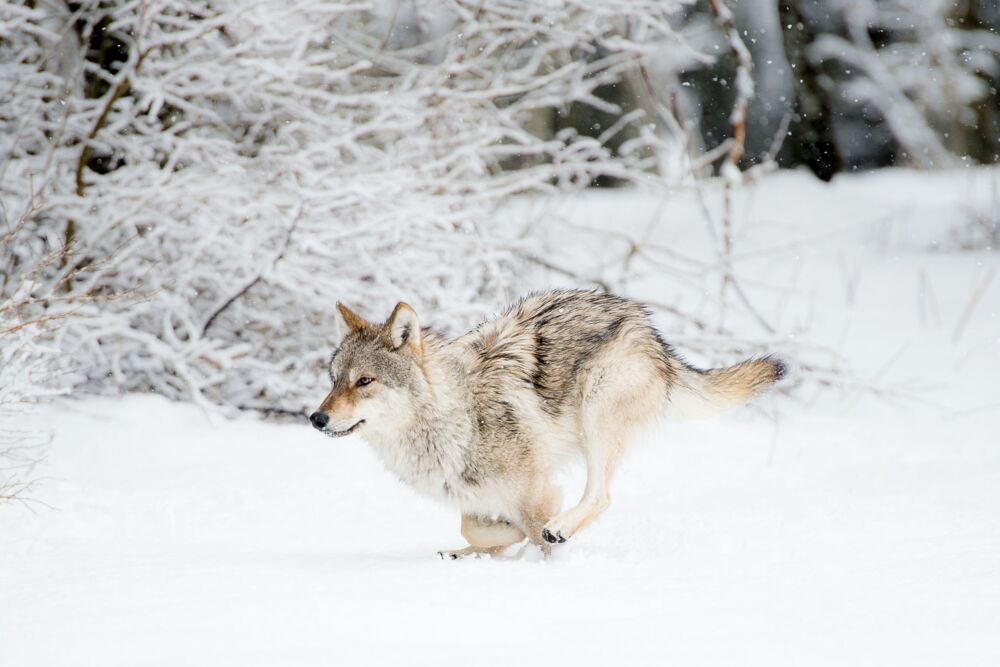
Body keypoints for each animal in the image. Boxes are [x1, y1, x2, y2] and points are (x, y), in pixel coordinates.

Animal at [309, 290, 784, 558]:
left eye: (364, 381)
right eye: (333, 380)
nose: (316, 418)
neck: (454, 417)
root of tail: (648, 328)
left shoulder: (534, 488)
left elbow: (535, 527)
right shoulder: (475, 495)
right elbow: (474, 526)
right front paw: (494, 544)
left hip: (597, 413)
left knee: (600, 496)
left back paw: (559, 528)